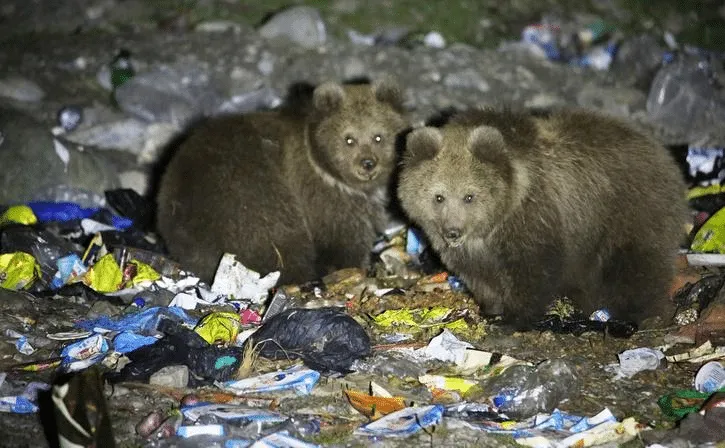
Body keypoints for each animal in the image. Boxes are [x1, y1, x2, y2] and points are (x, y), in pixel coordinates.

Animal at [156, 77, 409, 285]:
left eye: (378, 136)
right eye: (349, 139)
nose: (368, 163)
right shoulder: (322, 195)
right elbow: (343, 236)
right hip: (248, 192)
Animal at [396, 107, 689, 329]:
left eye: (469, 196)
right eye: (439, 196)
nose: (453, 231)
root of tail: (663, 156)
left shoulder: (536, 220)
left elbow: (533, 272)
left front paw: (512, 319)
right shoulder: (471, 253)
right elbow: (480, 278)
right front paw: (491, 309)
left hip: (629, 213)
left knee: (637, 265)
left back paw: (643, 314)